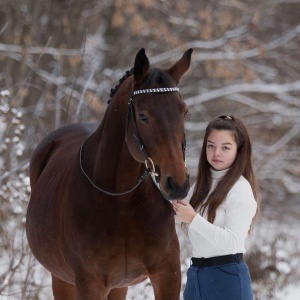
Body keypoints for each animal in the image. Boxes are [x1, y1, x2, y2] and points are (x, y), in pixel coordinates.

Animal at [27, 48, 193, 298]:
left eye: (184, 112)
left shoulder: (167, 274)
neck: (122, 201)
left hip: (118, 286)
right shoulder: (90, 283)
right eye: (143, 116)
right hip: (62, 279)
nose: (178, 184)